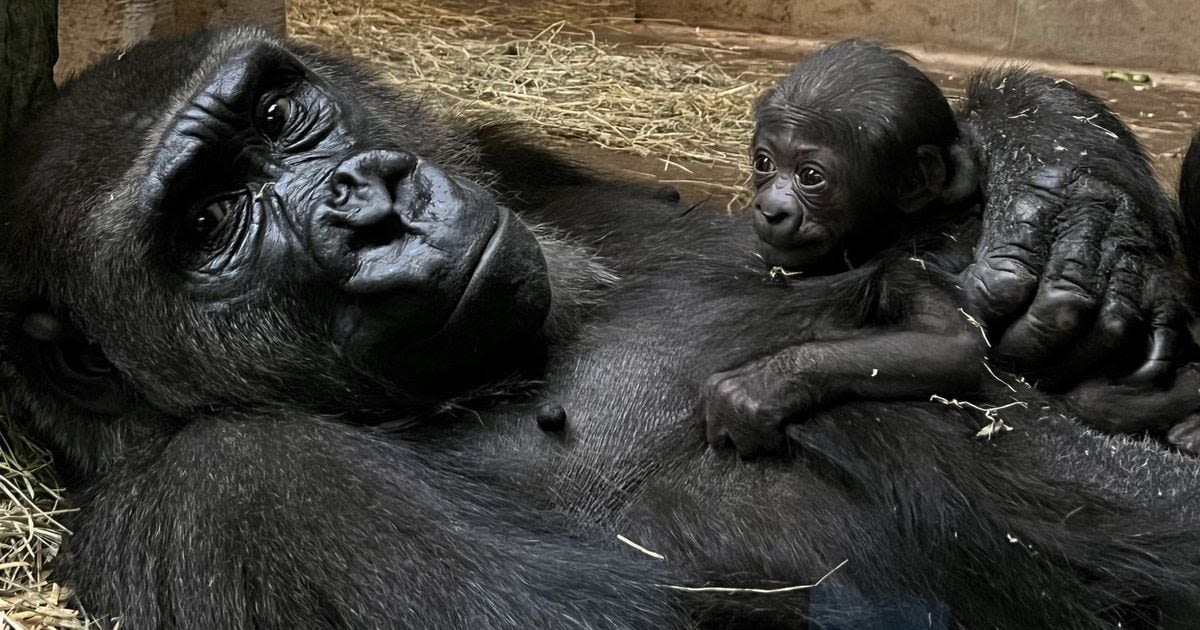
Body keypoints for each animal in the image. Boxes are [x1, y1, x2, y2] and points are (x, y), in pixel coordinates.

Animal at [700, 40, 984, 456]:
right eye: (764, 163)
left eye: (810, 176)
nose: (771, 208)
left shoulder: (914, 263)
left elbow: (952, 341)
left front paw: (763, 384)